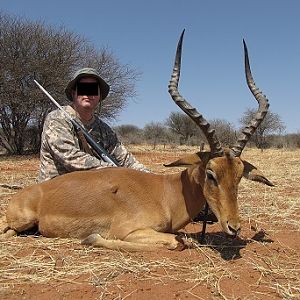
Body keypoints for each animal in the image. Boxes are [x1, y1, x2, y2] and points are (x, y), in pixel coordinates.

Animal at [1, 30, 274, 251]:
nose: (234, 227)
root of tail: (27, 193)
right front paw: (91, 238)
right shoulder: (129, 231)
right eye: (211, 174)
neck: (165, 193)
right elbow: (176, 242)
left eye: (239, 176)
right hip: (21, 221)